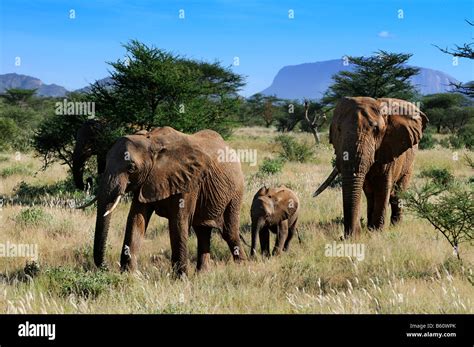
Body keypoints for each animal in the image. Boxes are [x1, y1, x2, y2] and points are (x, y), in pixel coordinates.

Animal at [94, 126, 246, 276]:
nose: (106, 268)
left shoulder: (188, 180)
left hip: (235, 192)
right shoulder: (147, 180)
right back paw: (202, 274)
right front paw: (129, 275)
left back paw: (243, 268)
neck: (151, 140)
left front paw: (181, 278)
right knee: (202, 232)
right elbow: (136, 219)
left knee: (229, 232)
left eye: (131, 168)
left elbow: (178, 222)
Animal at [312, 98, 428, 239]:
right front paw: (370, 230)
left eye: (376, 129)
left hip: (409, 163)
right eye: (338, 129)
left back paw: (395, 226)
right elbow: (368, 189)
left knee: (398, 192)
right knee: (372, 194)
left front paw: (377, 233)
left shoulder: (388, 148)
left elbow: (383, 188)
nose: (348, 236)